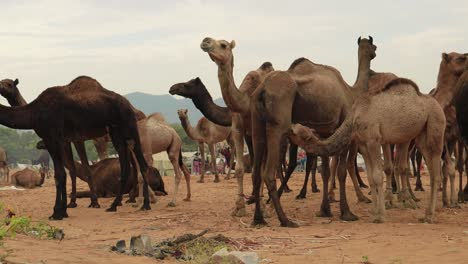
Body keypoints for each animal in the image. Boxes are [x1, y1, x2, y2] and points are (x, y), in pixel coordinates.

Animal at [0, 77, 159, 221]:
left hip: (130, 128)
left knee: (142, 164)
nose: (1, 87)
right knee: (128, 166)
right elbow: (66, 172)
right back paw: (116, 205)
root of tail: (131, 106)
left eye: (9, 83)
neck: (33, 113)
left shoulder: (52, 138)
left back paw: (144, 204)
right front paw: (65, 209)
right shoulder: (62, 139)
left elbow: (60, 174)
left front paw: (57, 212)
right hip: (116, 133)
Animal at [288, 77, 446, 224]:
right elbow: (370, 177)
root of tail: (438, 105)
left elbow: (377, 175)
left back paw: (429, 216)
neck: (354, 117)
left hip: (436, 124)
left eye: (296, 132)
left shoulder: (373, 140)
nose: (290, 126)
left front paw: (380, 215)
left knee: (436, 171)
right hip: (421, 135)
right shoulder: (363, 144)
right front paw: (374, 212)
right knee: (431, 169)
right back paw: (425, 214)